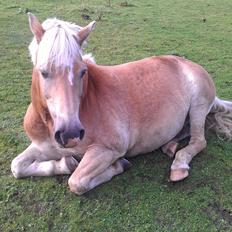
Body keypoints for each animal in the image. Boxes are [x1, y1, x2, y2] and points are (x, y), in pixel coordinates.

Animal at [10, 12, 232, 194]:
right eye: (43, 71)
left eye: (83, 72)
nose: (70, 134)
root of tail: (188, 63)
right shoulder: (44, 146)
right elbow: (17, 166)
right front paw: (64, 164)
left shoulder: (109, 150)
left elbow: (77, 181)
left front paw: (118, 166)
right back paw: (170, 146)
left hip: (198, 107)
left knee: (198, 141)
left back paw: (179, 165)